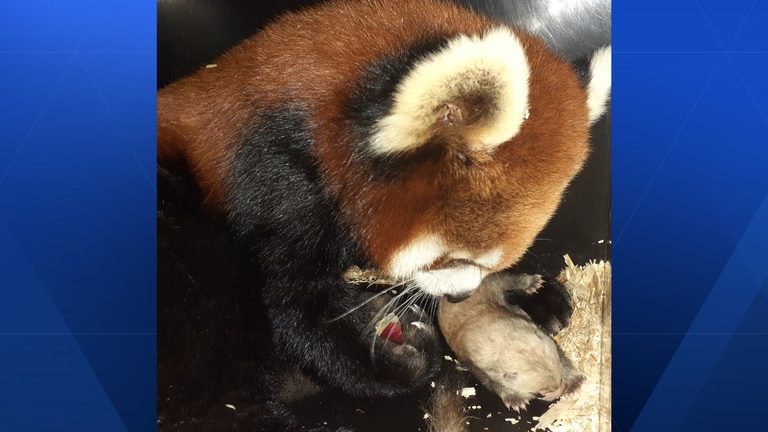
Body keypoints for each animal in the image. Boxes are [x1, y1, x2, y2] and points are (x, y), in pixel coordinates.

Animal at [157, 0, 611, 430]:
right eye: (453, 258)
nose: (460, 297)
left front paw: (538, 293)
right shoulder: (276, 181)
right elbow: (296, 308)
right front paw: (388, 366)